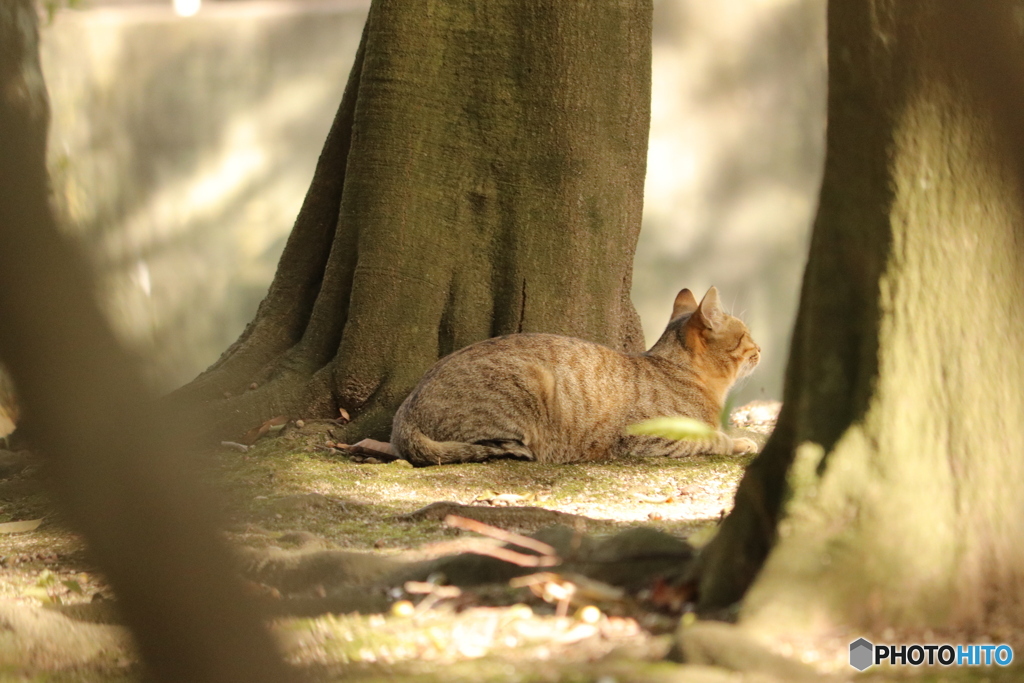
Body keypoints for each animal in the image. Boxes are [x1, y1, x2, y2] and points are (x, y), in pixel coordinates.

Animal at [391, 286, 761, 466]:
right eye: (746, 335)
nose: (760, 347)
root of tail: (405, 413)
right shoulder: (648, 438)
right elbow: (712, 439)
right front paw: (739, 442)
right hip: (529, 385)